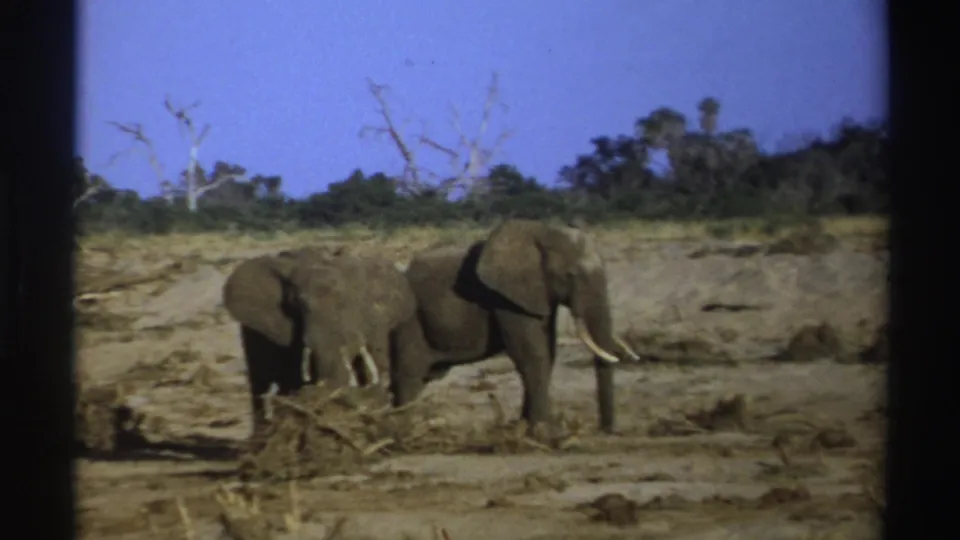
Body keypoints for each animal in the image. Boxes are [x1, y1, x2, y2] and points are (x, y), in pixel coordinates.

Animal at [392, 219, 640, 434]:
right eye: (570, 275)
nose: (608, 431)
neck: (544, 232)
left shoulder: (537, 295)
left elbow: (547, 352)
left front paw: (525, 428)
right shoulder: (505, 299)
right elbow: (532, 355)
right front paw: (542, 432)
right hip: (410, 322)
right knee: (410, 375)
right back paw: (404, 432)